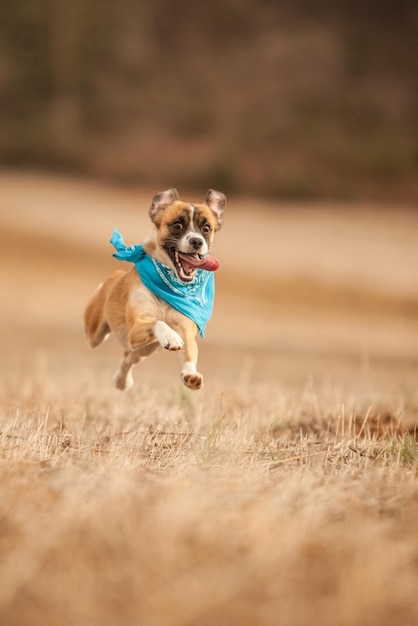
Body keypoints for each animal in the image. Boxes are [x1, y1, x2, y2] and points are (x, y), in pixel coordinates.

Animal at [82, 188, 225, 388]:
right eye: (177, 225)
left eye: (206, 228)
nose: (197, 241)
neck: (170, 287)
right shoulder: (136, 326)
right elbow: (158, 322)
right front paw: (170, 337)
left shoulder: (186, 329)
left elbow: (190, 350)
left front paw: (191, 374)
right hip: (95, 333)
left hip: (140, 351)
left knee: (128, 358)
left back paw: (121, 381)